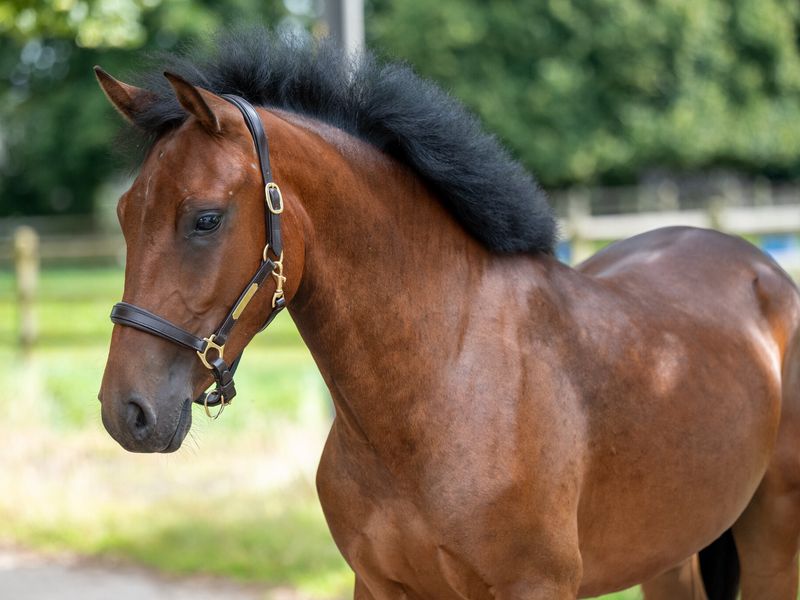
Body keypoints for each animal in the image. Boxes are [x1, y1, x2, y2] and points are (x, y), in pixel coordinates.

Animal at [96, 32, 800, 599]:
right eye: (125, 215)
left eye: (205, 219)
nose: (127, 412)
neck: (443, 383)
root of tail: (760, 268)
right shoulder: (378, 585)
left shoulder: (534, 588)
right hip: (671, 557)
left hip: (772, 544)